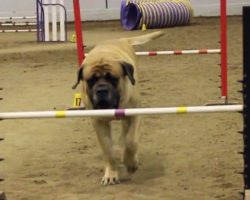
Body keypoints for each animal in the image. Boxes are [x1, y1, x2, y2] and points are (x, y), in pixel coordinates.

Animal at [73, 30, 165, 185]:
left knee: (126, 136)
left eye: (113, 79)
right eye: (91, 80)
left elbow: (131, 141)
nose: (101, 90)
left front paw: (131, 163)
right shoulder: (99, 123)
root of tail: (121, 39)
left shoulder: (134, 115)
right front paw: (111, 173)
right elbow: (108, 150)